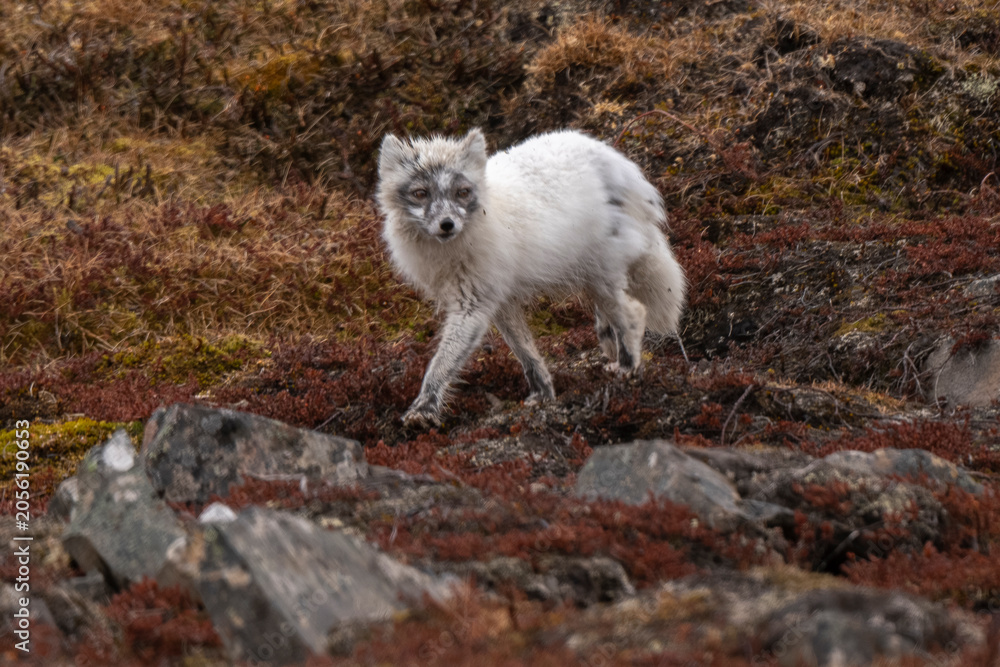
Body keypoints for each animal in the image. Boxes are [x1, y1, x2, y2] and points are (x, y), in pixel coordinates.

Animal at [376, 128, 687, 427]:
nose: (447, 225)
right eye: (421, 193)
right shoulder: (500, 303)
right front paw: (543, 393)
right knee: (612, 313)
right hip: (594, 279)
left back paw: (628, 367)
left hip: (601, 274)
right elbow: (526, 353)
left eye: (462, 192)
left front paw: (422, 410)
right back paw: (609, 343)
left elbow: (440, 364)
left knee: (633, 312)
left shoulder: (472, 306)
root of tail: (619, 166)